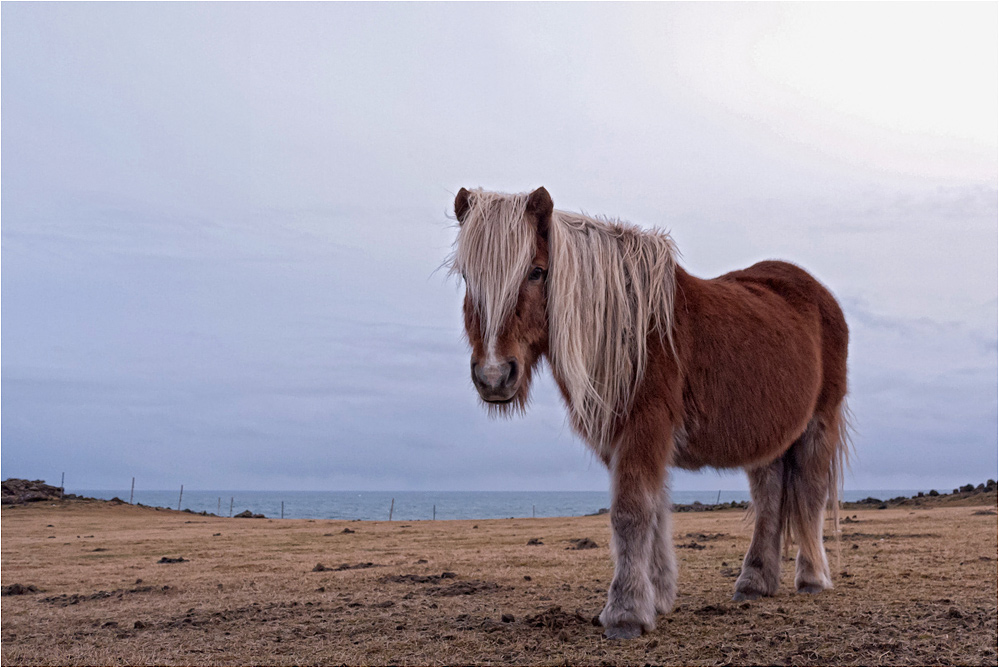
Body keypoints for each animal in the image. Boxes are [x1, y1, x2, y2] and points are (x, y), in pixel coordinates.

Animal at [450, 185, 848, 640]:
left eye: (536, 272)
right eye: (467, 277)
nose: (494, 376)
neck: (629, 331)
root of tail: (818, 293)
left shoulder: (645, 426)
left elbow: (631, 512)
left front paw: (625, 613)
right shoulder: (622, 438)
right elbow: (654, 512)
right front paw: (656, 597)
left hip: (819, 422)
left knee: (810, 493)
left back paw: (812, 578)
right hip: (767, 437)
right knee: (769, 495)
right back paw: (754, 582)